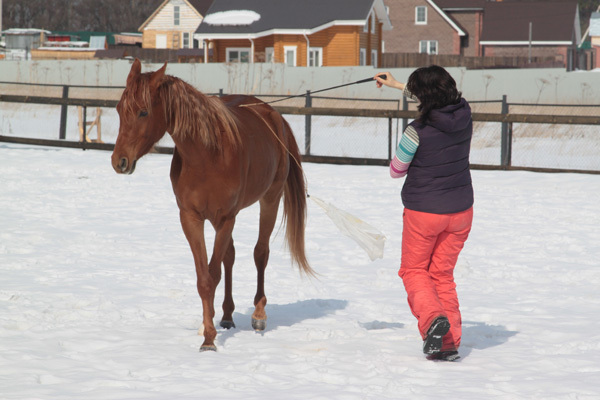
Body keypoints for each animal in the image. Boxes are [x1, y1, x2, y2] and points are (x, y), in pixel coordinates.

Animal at [112, 57, 314, 352]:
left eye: (143, 112)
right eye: (119, 109)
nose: (119, 161)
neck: (206, 156)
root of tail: (272, 115)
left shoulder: (226, 217)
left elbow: (214, 273)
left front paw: (209, 340)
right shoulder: (191, 218)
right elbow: (204, 278)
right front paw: (208, 333)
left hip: (270, 199)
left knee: (260, 253)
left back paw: (259, 314)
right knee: (230, 256)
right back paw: (227, 315)